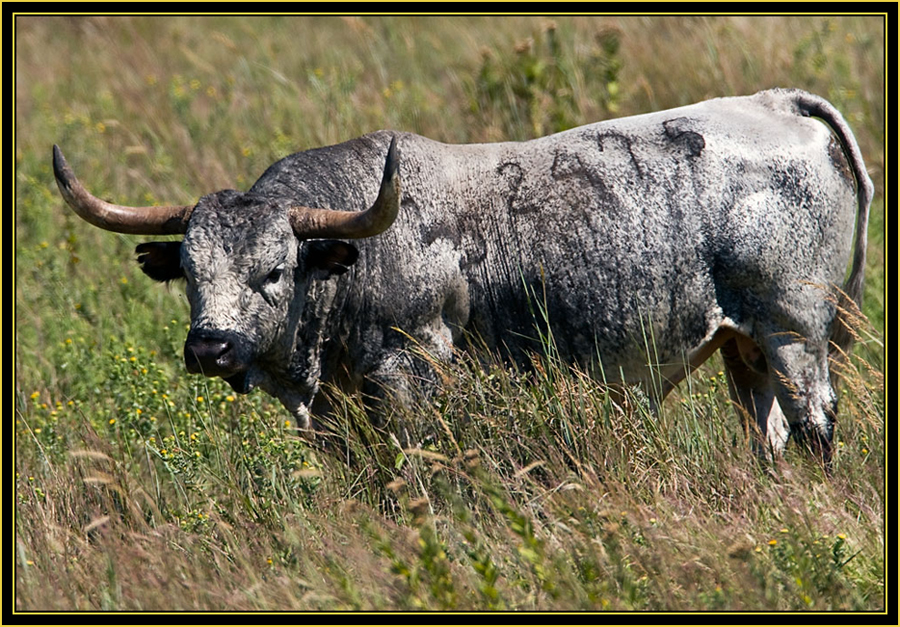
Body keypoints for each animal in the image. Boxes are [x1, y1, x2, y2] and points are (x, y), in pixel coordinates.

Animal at [52, 87, 868, 462]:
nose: (210, 347)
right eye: (190, 271)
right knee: (768, 436)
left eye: (276, 270)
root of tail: (776, 102)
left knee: (816, 424)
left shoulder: (410, 372)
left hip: (795, 335)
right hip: (745, 348)